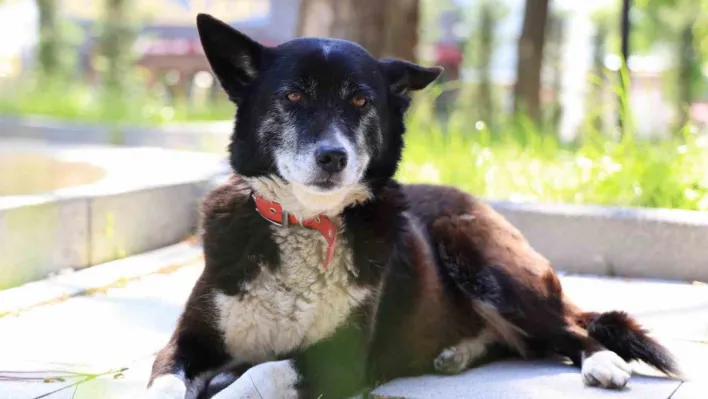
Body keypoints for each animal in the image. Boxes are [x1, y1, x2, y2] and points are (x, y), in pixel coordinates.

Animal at [147, 14, 684, 398]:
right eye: (293, 96)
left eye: (361, 102)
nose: (333, 156)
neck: (309, 221)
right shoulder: (188, 343)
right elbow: (165, 380)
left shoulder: (338, 361)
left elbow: (261, 375)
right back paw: (457, 353)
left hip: (480, 254)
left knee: (570, 328)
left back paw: (601, 361)